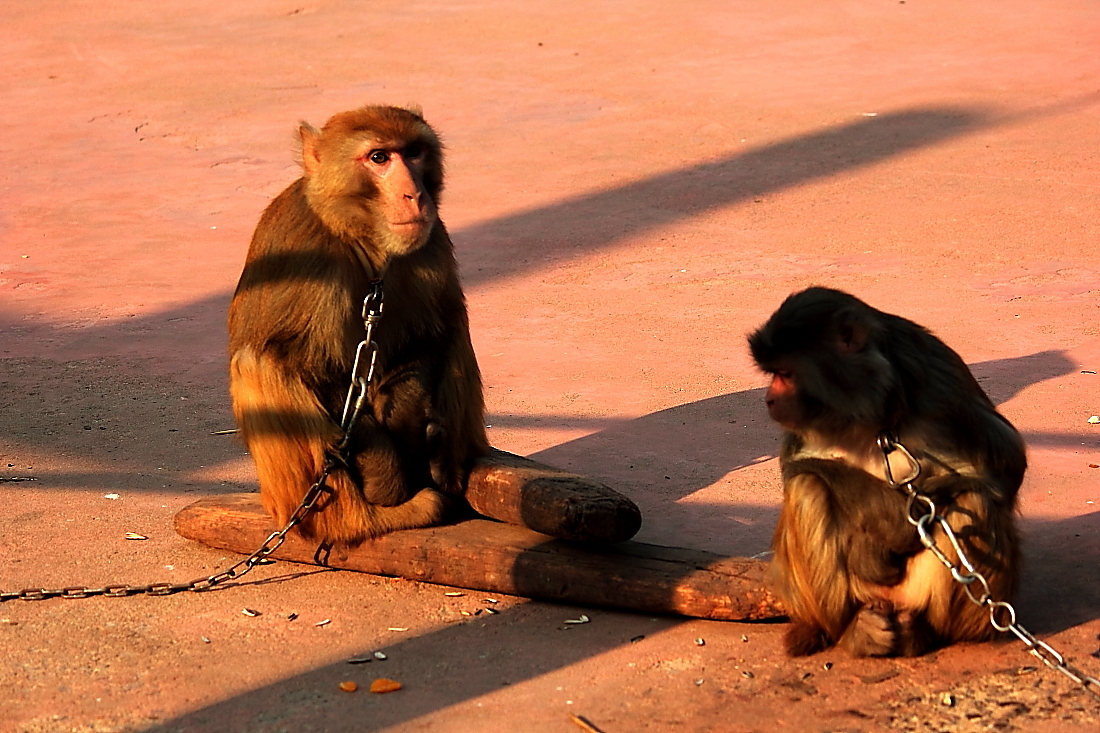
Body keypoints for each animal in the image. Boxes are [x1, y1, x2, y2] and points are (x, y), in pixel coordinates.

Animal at [226, 105, 486, 545]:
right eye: (379, 158)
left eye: (413, 152)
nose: (414, 195)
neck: (365, 240)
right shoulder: (307, 257)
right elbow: (301, 363)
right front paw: (384, 471)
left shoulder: (431, 242)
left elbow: (434, 332)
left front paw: (407, 417)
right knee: (257, 363)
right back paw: (368, 519)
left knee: (455, 328)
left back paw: (442, 470)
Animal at [748, 286, 1020, 655]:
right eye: (773, 373)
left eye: (786, 374)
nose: (769, 399)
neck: (868, 410)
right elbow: (796, 466)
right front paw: (869, 546)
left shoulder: (939, 380)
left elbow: (1003, 467)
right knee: (807, 486)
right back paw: (851, 630)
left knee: (972, 501)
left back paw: (921, 631)